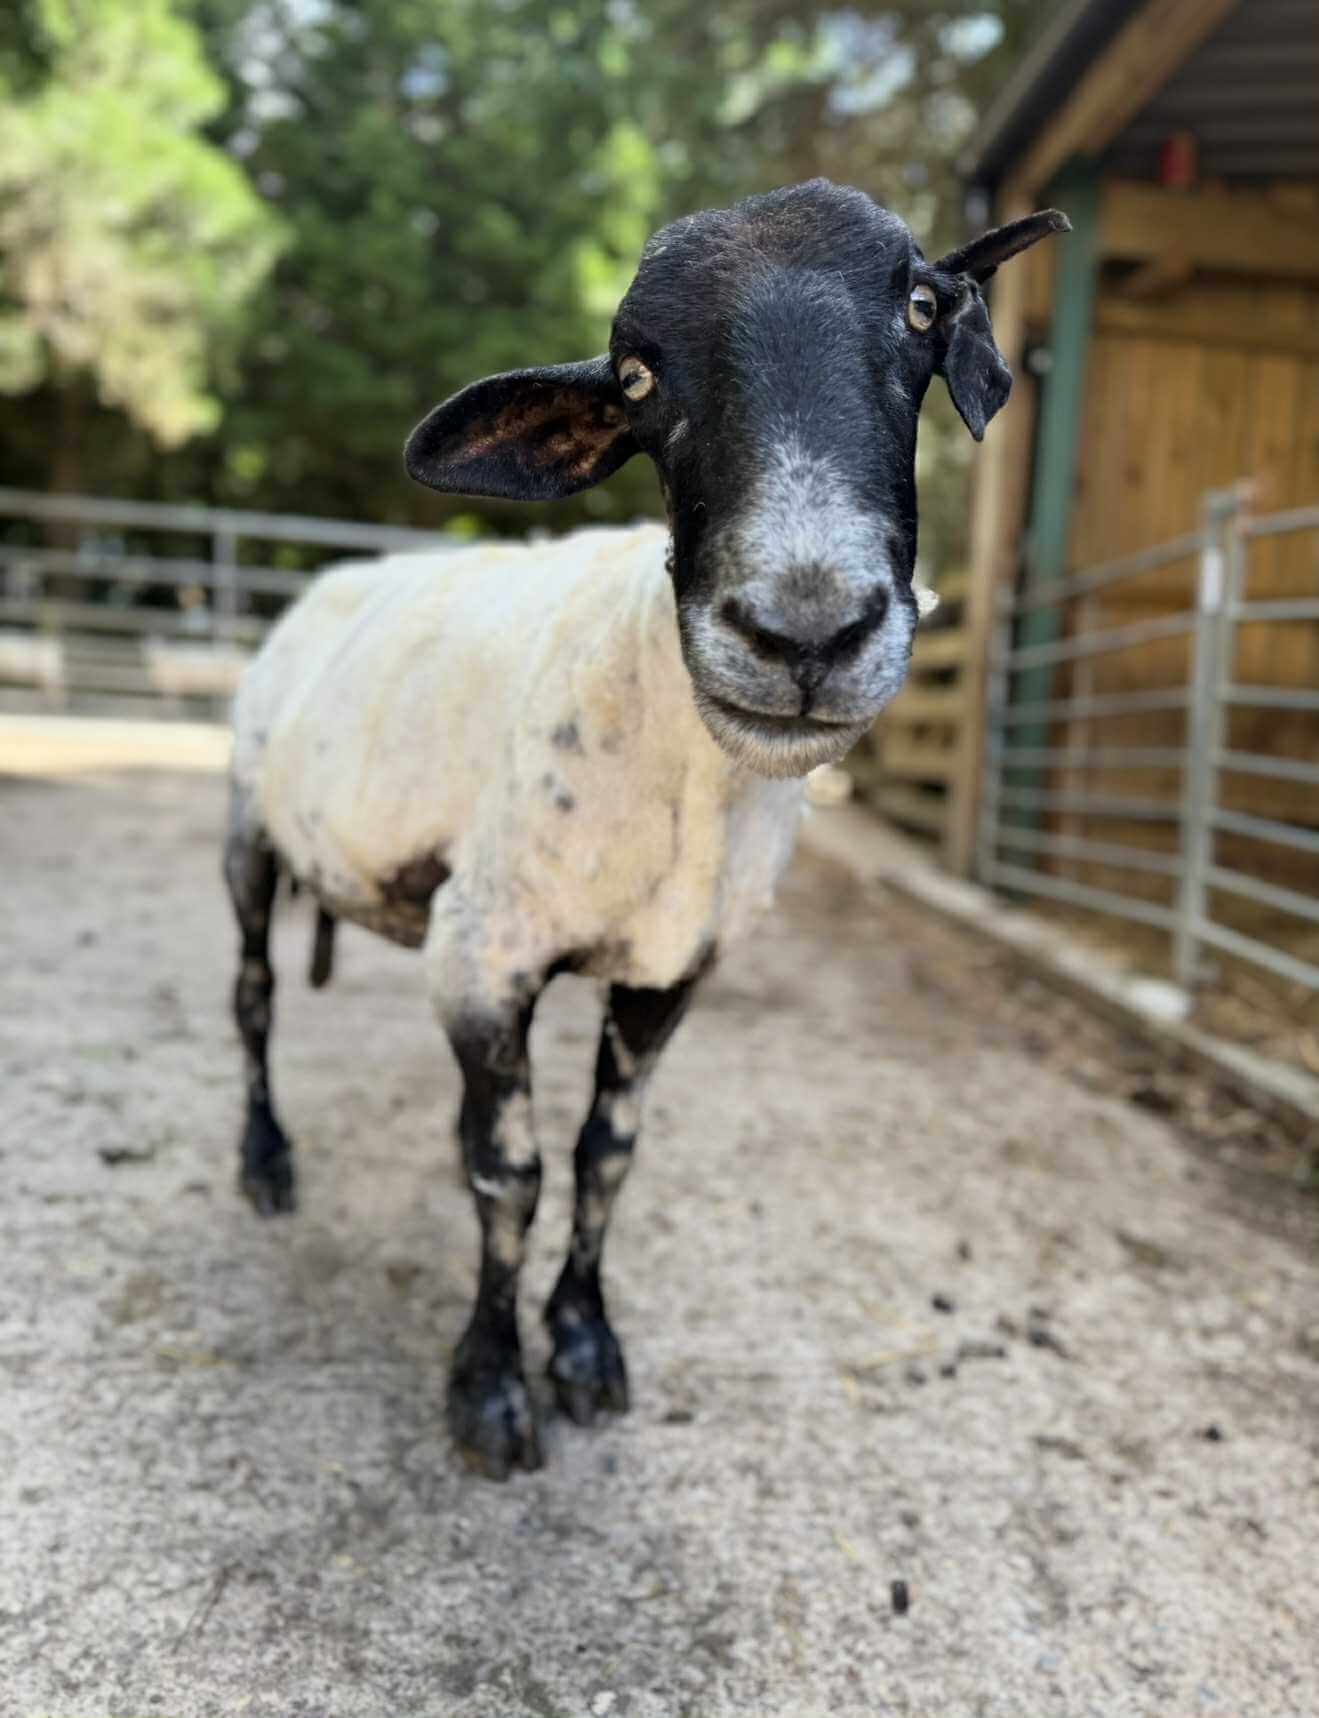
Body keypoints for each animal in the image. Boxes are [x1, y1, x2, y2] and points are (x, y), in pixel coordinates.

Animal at [225, 179, 1068, 1478]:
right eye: (633, 377)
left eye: (922, 310)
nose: (803, 630)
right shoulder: (482, 952)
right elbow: (509, 1173)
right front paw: (489, 1386)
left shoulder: (673, 969)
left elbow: (602, 1156)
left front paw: (582, 1344)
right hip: (246, 831)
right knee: (256, 996)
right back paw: (264, 1161)